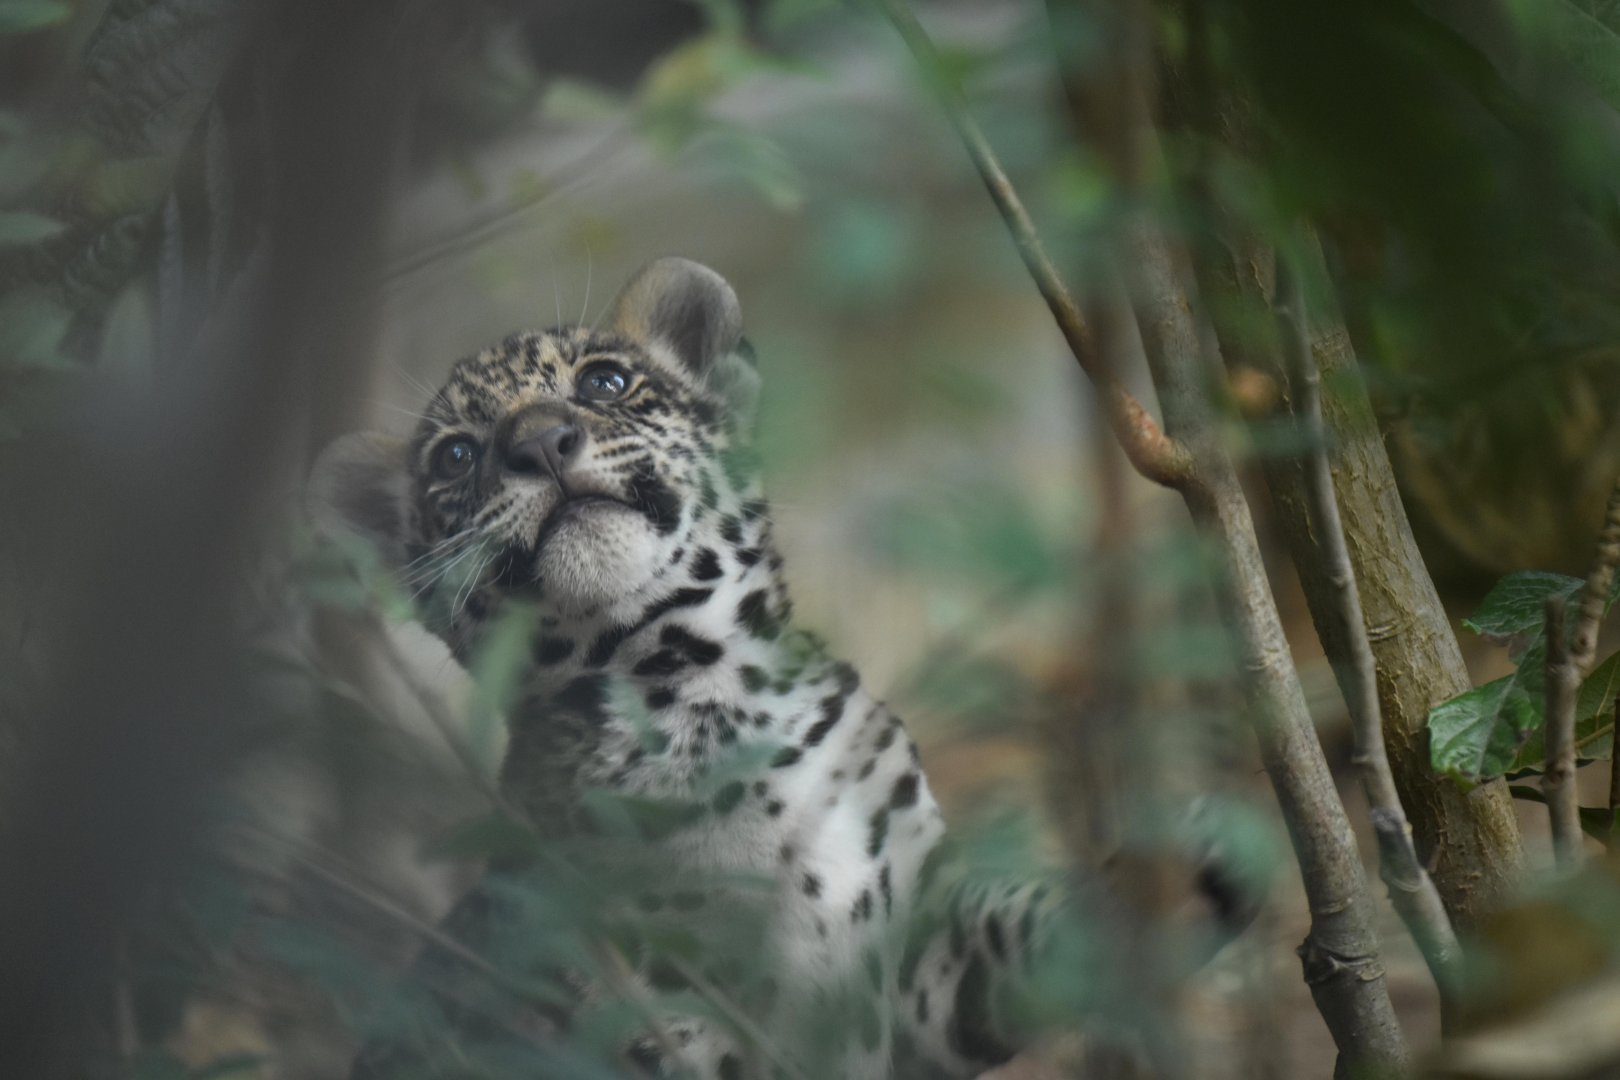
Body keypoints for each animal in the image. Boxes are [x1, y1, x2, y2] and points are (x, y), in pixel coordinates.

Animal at [311, 257, 1249, 1079]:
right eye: (456, 458)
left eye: (604, 384)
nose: (541, 443)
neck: (694, 689)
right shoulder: (630, 995)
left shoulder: (916, 960)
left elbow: (1018, 934)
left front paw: (1179, 874)